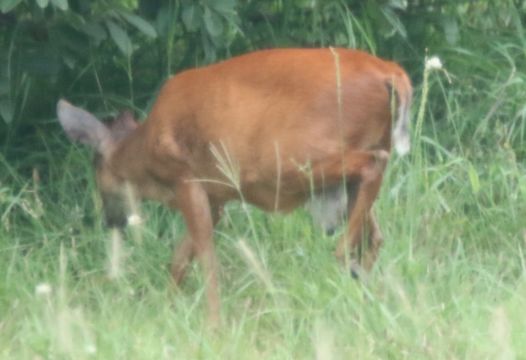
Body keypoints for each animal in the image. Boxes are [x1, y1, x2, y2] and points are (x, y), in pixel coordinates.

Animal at [56, 46, 412, 324]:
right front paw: (169, 308)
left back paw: (343, 261)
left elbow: (207, 260)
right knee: (376, 233)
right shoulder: (216, 196)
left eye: (96, 169)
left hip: (297, 159)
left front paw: (212, 326)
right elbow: (180, 258)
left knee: (373, 166)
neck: (144, 151)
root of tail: (391, 73)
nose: (110, 221)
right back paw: (360, 294)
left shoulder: (187, 179)